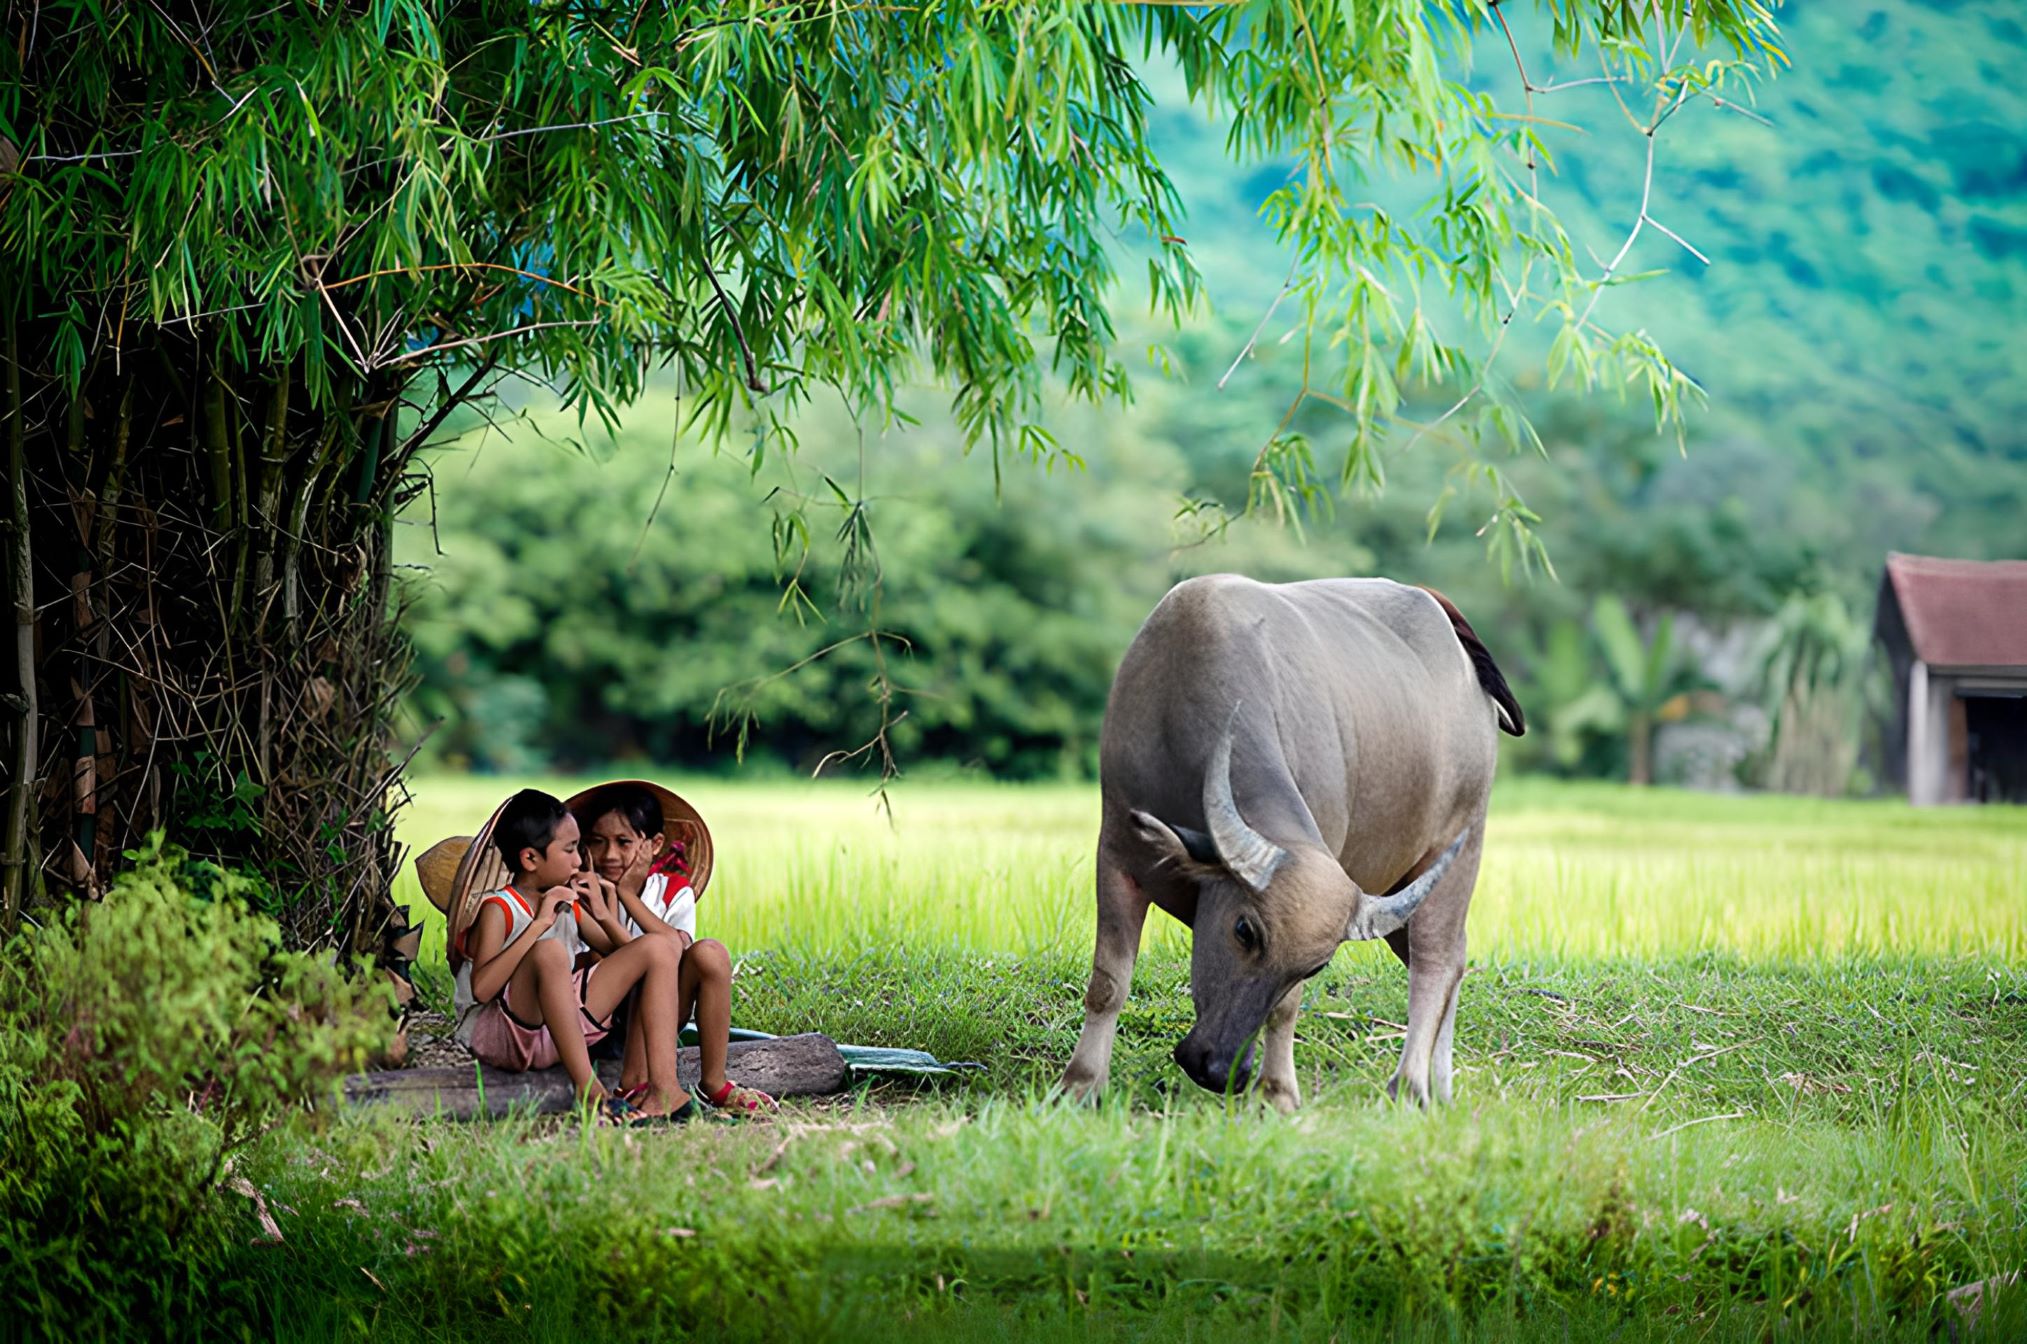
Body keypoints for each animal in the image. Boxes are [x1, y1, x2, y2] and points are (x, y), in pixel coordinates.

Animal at [1062, 571, 1524, 1110]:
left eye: (1316, 967)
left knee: (1437, 961)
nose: (1219, 1071)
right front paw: (1080, 1083)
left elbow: (1286, 1009)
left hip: (1459, 848)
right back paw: (1440, 1085)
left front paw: (1277, 1091)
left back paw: (1409, 1086)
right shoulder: (1116, 854)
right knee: (1452, 958)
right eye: (1244, 930)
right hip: (1402, 890)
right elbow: (1108, 982)